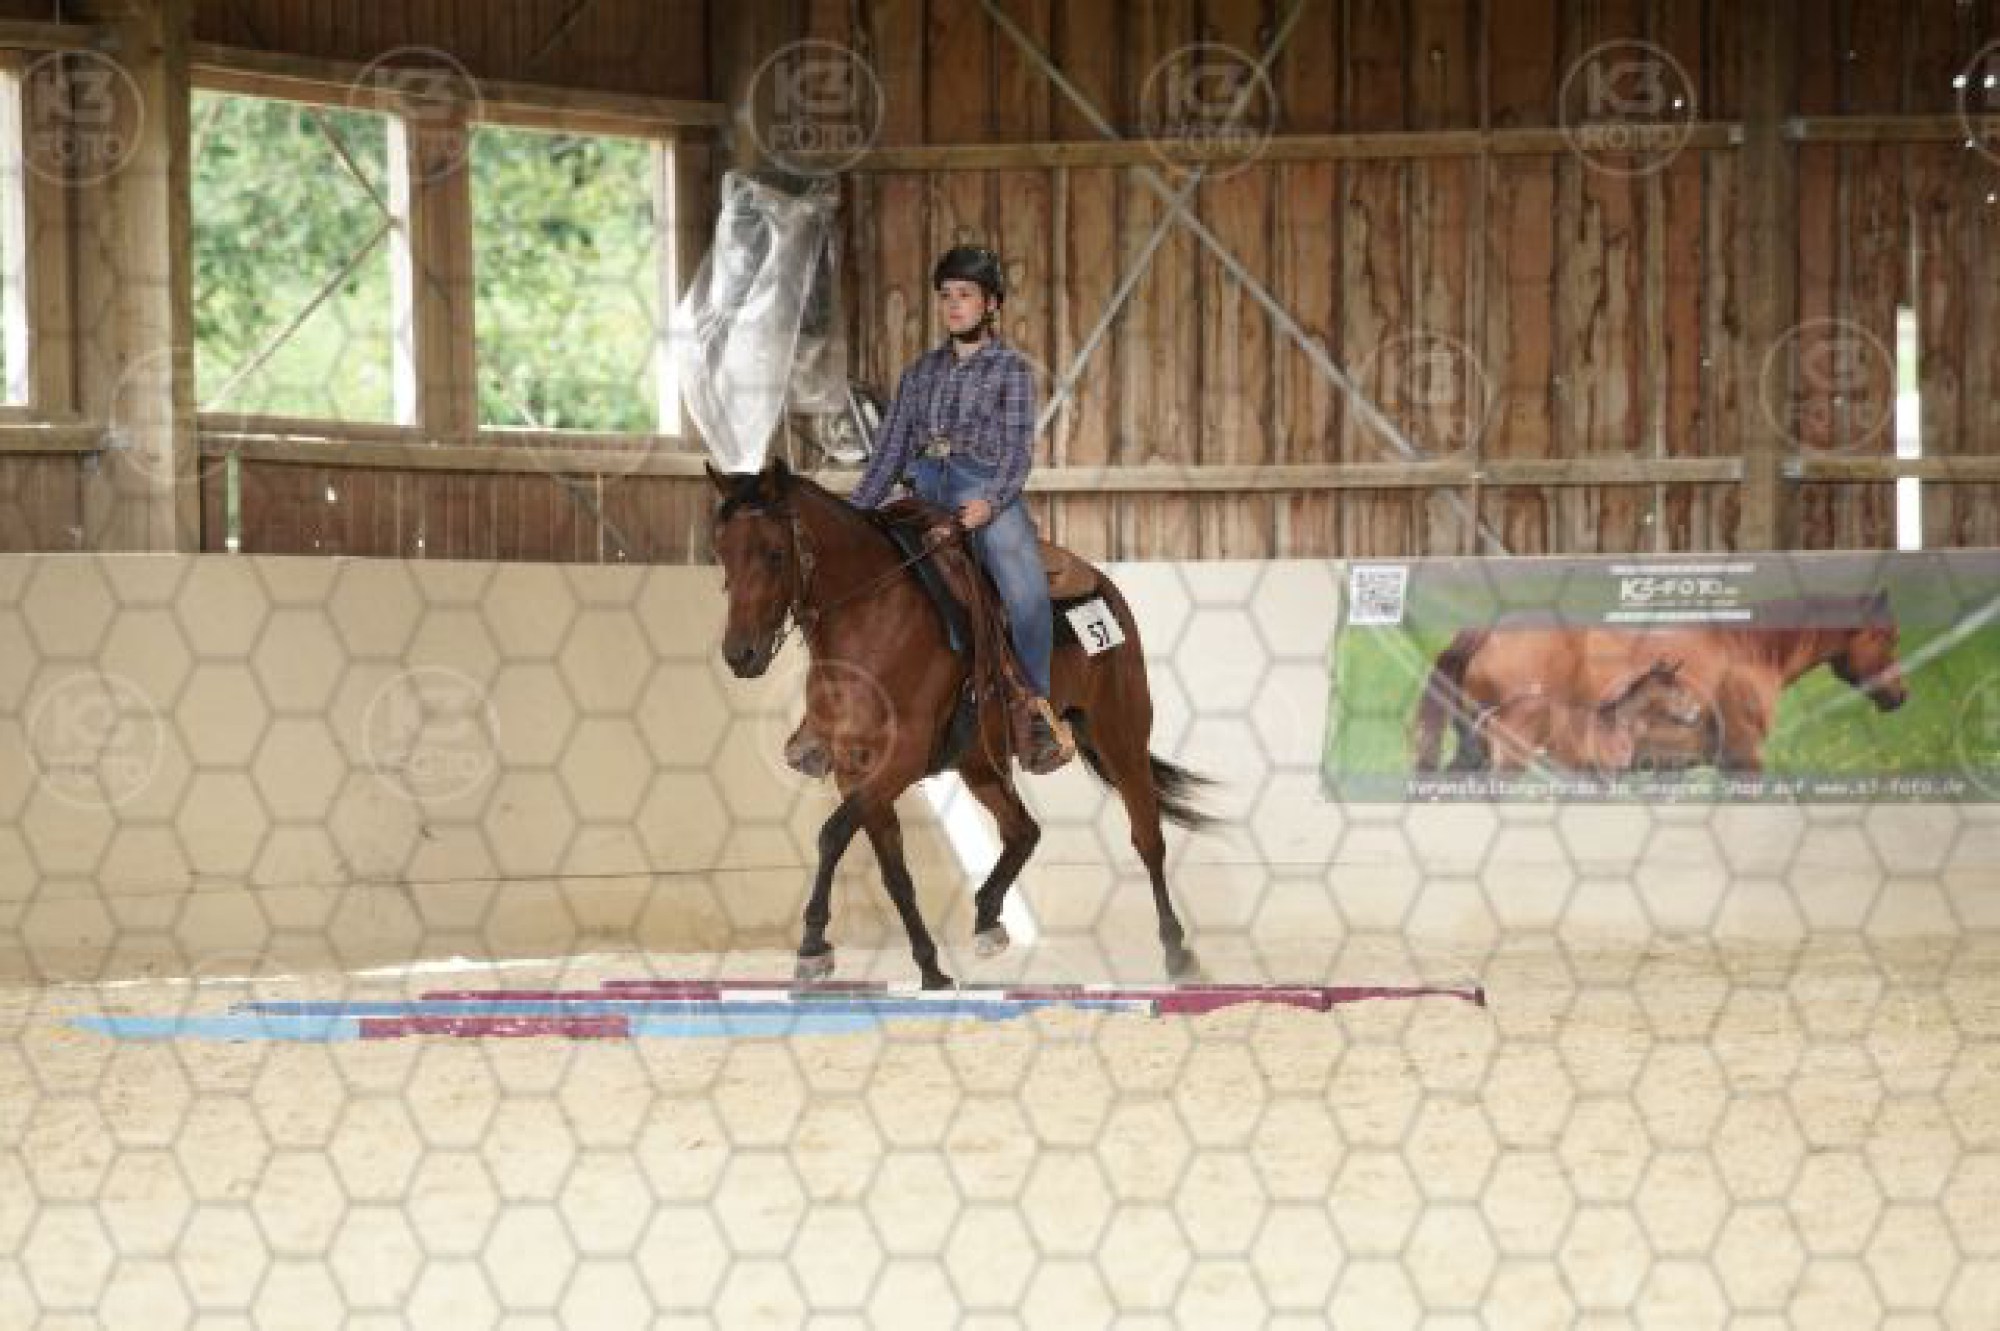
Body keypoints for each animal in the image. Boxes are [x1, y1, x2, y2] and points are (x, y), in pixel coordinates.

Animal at [707, 458, 1215, 988]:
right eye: (721, 553)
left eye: (774, 553)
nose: (739, 654)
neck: (873, 620)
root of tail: (1101, 583)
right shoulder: (856, 770)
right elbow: (893, 871)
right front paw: (931, 969)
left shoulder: (903, 759)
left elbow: (830, 835)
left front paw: (811, 946)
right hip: (981, 764)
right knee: (1023, 831)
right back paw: (988, 917)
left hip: (1120, 731)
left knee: (1148, 838)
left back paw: (1178, 953)